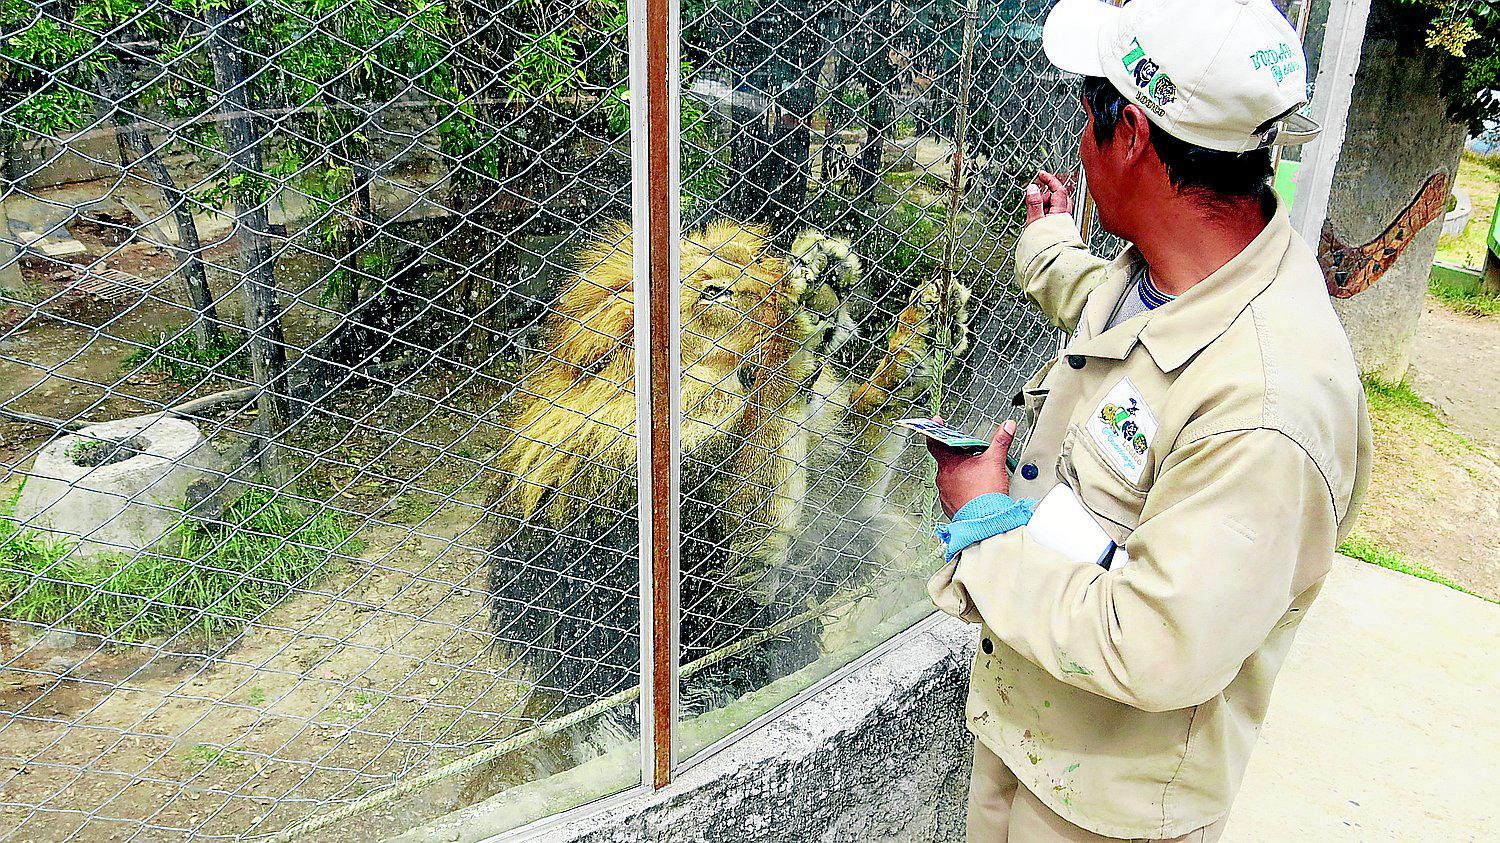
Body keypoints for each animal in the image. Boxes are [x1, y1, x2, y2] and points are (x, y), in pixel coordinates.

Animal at [485, 220, 969, 713]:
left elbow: (871, 420)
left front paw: (920, 331)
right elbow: (769, 416)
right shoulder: (710, 596)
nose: (821, 279)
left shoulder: (836, 522)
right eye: (715, 293)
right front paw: (802, 311)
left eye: (757, 262)